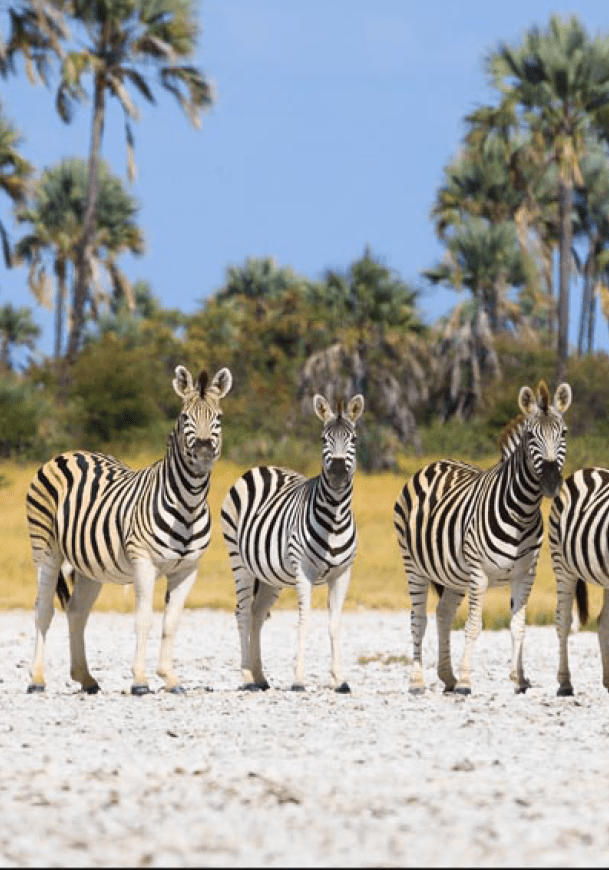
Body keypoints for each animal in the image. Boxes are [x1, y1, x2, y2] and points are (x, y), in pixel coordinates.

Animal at [25, 364, 232, 695]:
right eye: (184, 417)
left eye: (219, 418)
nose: (202, 455)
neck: (188, 504)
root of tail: (68, 453)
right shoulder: (143, 562)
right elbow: (144, 619)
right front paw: (140, 681)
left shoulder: (188, 569)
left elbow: (171, 622)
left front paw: (170, 678)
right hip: (46, 550)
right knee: (43, 609)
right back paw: (37, 680)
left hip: (88, 565)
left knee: (76, 611)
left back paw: (85, 678)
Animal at [220, 392, 364, 692]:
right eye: (323, 439)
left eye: (354, 439)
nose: (337, 473)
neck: (334, 517)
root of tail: (262, 467)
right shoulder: (304, 571)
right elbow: (304, 620)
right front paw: (298, 679)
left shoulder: (343, 573)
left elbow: (335, 624)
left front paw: (339, 679)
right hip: (239, 562)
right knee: (243, 613)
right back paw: (247, 677)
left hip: (269, 575)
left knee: (257, 615)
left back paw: (260, 676)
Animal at [393, 380, 572, 695]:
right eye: (530, 435)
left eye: (563, 433)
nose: (551, 481)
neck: (521, 511)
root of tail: (435, 462)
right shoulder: (479, 574)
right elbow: (474, 626)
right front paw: (467, 681)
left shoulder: (525, 575)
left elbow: (519, 627)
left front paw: (519, 680)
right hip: (413, 565)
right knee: (418, 620)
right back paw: (418, 681)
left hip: (453, 575)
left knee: (443, 615)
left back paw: (448, 677)